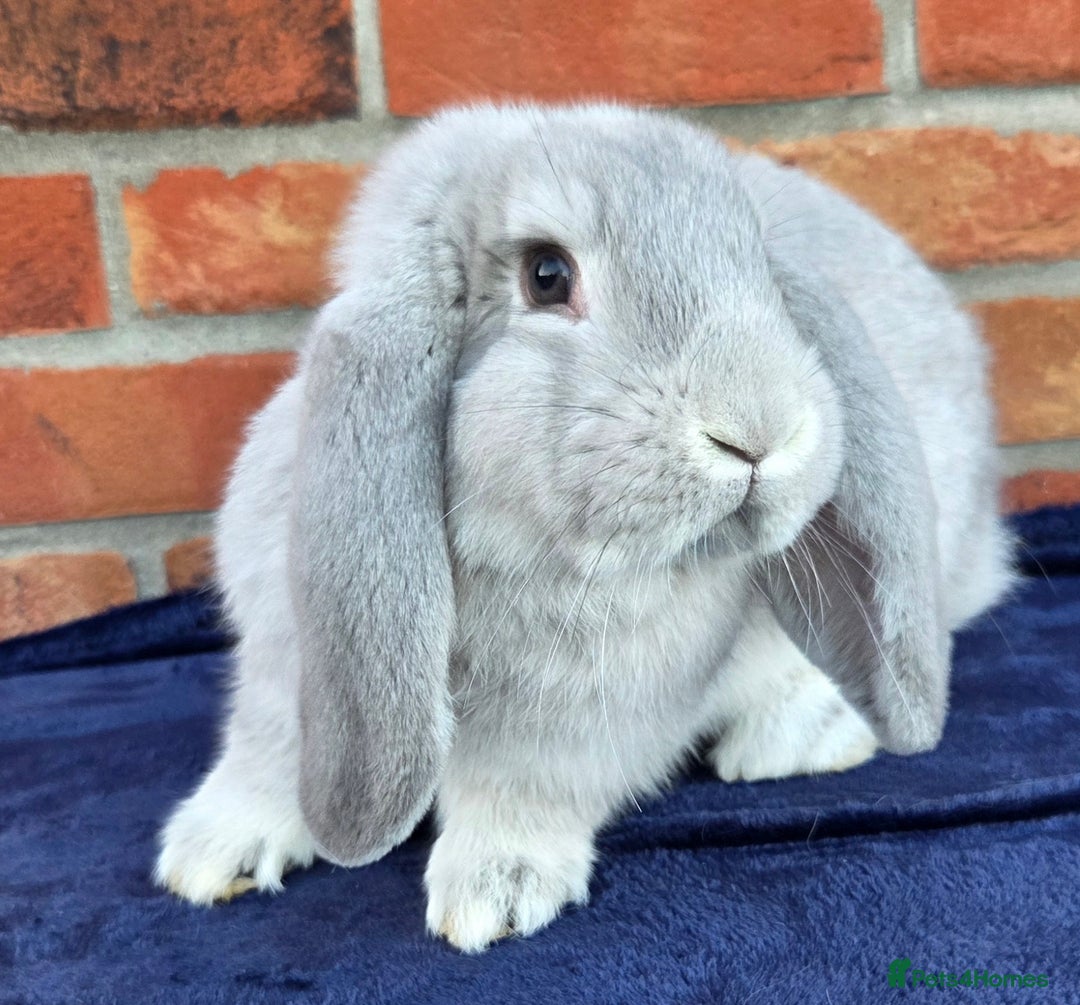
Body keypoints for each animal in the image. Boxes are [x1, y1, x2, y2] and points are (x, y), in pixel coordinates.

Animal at [155, 103, 1014, 952]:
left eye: (760, 269)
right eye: (546, 274)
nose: (761, 432)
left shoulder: (569, 727)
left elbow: (520, 791)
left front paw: (494, 894)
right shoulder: (289, 665)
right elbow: (270, 750)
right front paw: (208, 855)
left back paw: (790, 740)